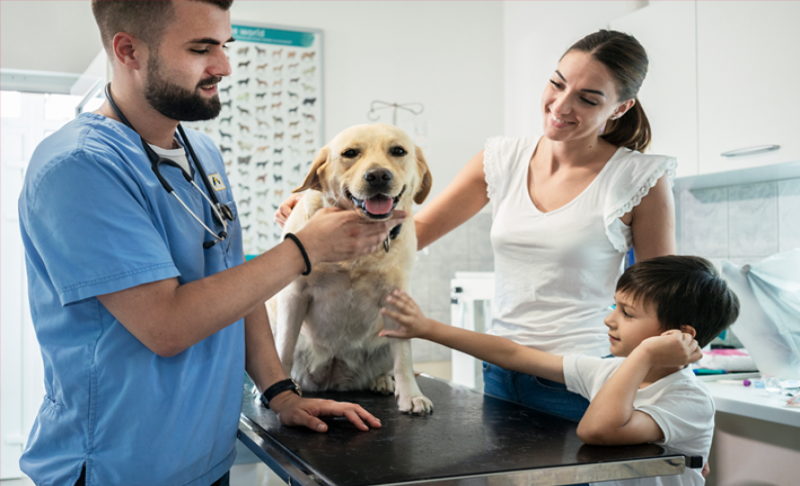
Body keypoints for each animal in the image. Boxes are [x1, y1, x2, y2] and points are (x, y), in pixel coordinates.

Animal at [268, 122, 432, 414]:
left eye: (398, 151)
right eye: (350, 153)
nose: (378, 176)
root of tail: (334, 378)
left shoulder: (396, 298)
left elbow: (404, 357)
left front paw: (411, 395)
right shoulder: (294, 294)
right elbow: (284, 347)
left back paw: (382, 380)